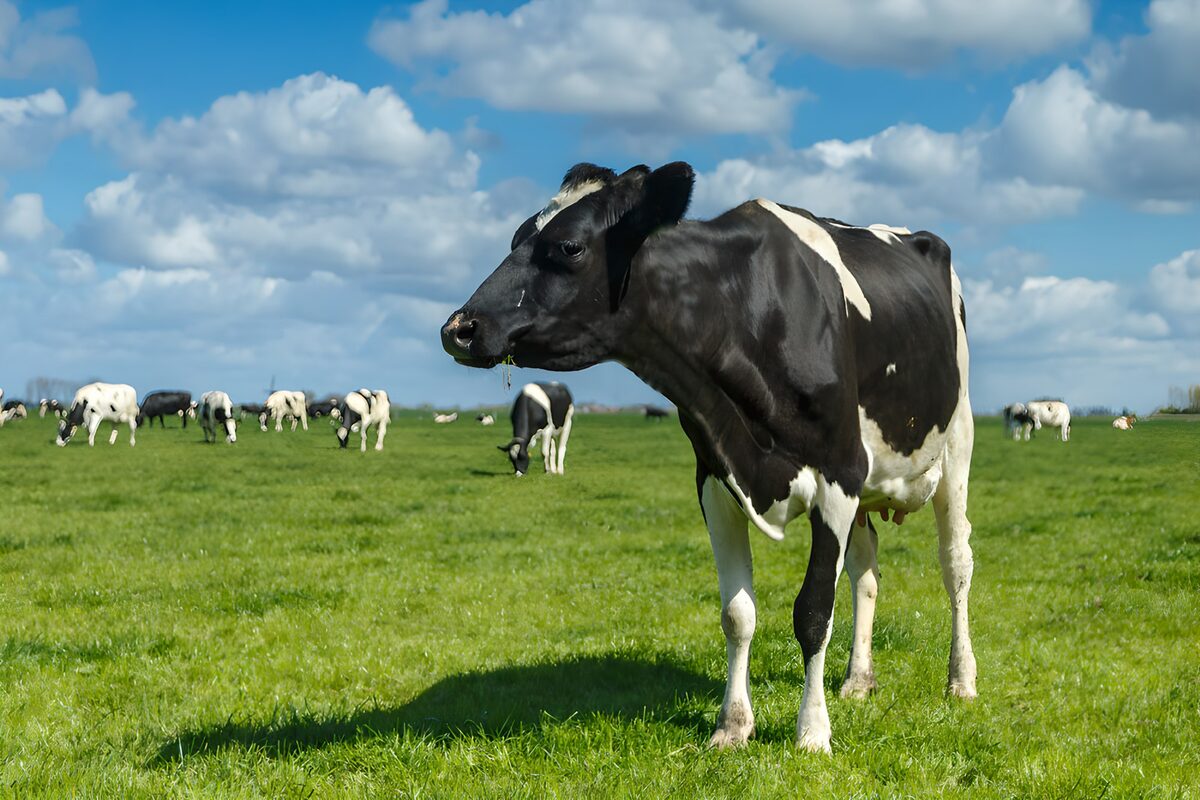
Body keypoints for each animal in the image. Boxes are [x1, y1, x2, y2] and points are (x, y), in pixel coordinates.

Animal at [441, 161, 977, 753]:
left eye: (569, 247)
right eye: (515, 238)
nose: (458, 328)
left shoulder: (838, 475)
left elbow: (814, 610)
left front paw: (812, 731)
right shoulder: (716, 478)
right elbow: (737, 613)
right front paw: (733, 725)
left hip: (957, 444)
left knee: (955, 564)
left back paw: (961, 679)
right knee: (866, 571)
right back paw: (858, 680)